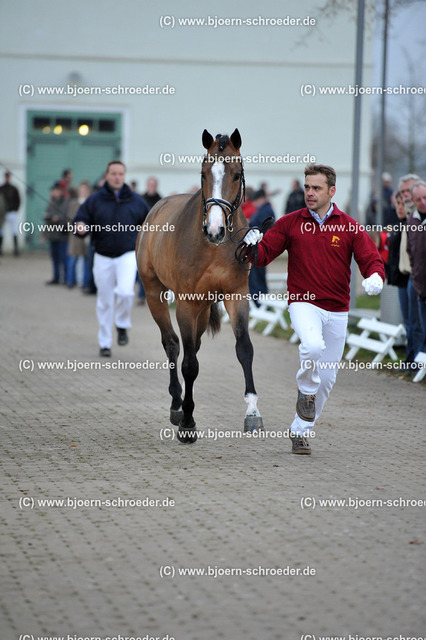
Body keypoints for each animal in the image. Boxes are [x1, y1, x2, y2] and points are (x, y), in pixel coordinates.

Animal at [136, 127, 262, 442]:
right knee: (172, 344)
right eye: (204, 173)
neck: (215, 247)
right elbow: (189, 363)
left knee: (194, 344)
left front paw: (253, 413)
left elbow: (244, 349)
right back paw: (177, 404)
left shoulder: (236, 295)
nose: (215, 229)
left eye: (236, 175)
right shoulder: (186, 303)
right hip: (155, 294)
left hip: (204, 310)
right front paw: (188, 422)